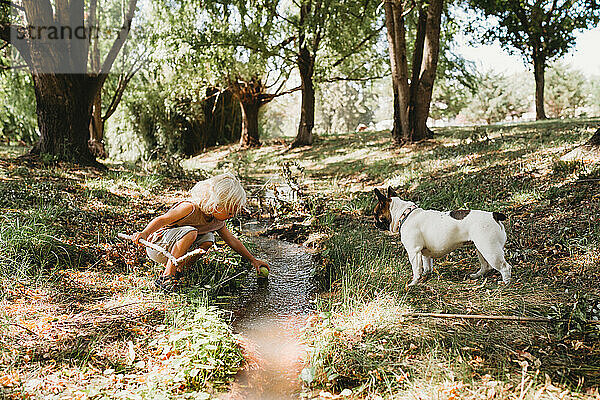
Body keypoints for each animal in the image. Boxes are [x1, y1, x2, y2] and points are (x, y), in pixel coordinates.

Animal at [376, 186, 510, 286]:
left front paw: (413, 283)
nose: (374, 222)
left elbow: (416, 269)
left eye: (375, 213)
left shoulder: (414, 252)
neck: (405, 214)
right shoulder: (424, 252)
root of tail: (494, 215)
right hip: (481, 248)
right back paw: (476, 275)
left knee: (505, 267)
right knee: (486, 266)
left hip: (490, 249)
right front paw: (426, 276)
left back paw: (505, 283)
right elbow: (427, 265)